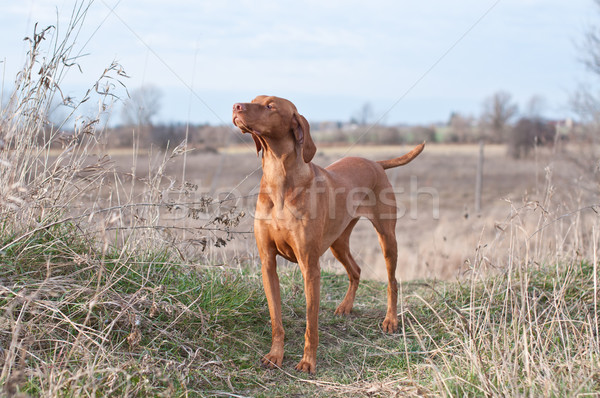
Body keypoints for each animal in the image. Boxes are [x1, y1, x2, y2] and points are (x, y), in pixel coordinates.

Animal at [232, 95, 424, 374]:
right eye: (253, 100)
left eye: (270, 106)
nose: (236, 107)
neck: (279, 178)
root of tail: (375, 163)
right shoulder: (267, 263)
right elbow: (276, 319)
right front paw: (275, 355)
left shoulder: (310, 268)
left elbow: (311, 323)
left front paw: (308, 361)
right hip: (338, 242)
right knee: (356, 270)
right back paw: (346, 306)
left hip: (387, 237)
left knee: (392, 281)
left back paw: (390, 320)